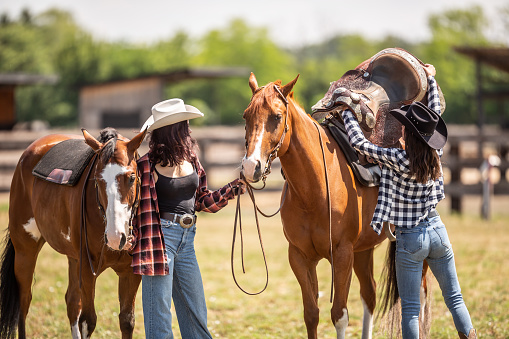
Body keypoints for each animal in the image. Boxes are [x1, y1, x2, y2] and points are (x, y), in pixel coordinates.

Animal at [0, 128, 147, 339]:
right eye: (98, 180)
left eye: (132, 177)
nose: (115, 236)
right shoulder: (86, 270)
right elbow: (88, 321)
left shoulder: (130, 273)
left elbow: (127, 321)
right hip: (25, 251)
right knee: (24, 302)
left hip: (73, 258)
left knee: (71, 301)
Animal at [240, 73, 426, 338]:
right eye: (246, 116)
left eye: (276, 116)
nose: (250, 166)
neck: (313, 191)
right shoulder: (300, 257)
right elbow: (311, 313)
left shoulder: (342, 254)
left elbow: (339, 314)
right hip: (364, 249)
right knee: (370, 293)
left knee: (420, 292)